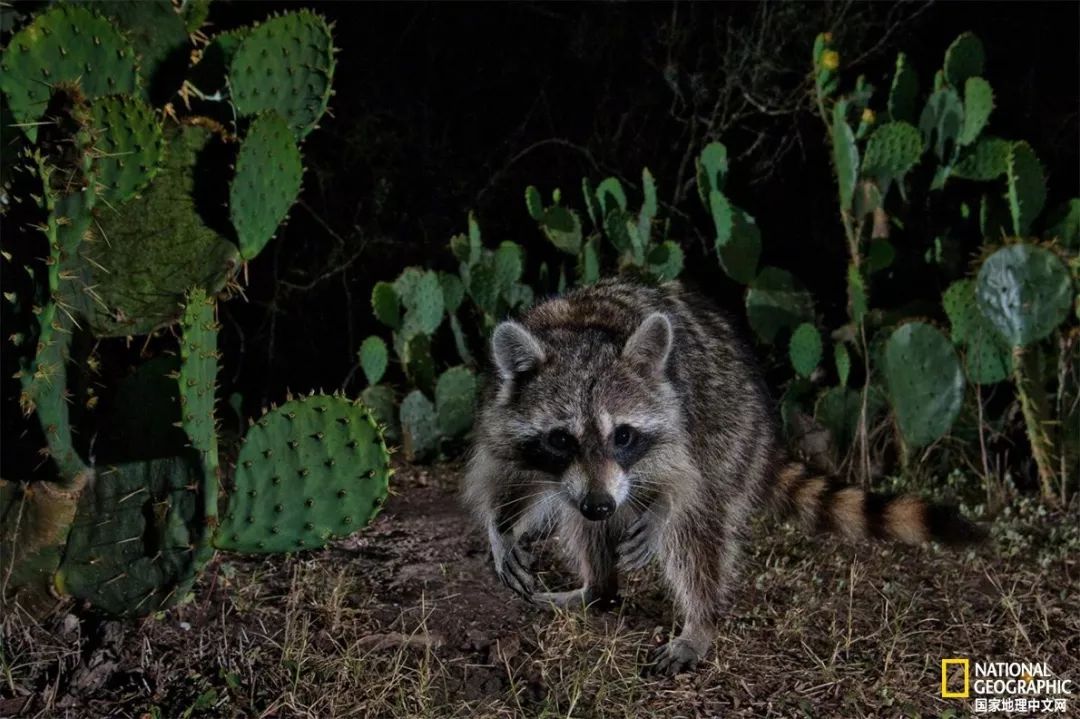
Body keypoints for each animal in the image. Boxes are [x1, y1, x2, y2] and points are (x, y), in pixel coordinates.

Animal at [460, 278, 984, 673]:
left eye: (623, 435)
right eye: (561, 440)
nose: (601, 503)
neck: (581, 330)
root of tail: (766, 425)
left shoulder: (679, 418)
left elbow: (682, 485)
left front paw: (662, 510)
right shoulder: (502, 416)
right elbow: (504, 475)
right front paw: (501, 530)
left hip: (731, 433)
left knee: (698, 531)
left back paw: (698, 620)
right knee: (582, 525)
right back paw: (599, 589)